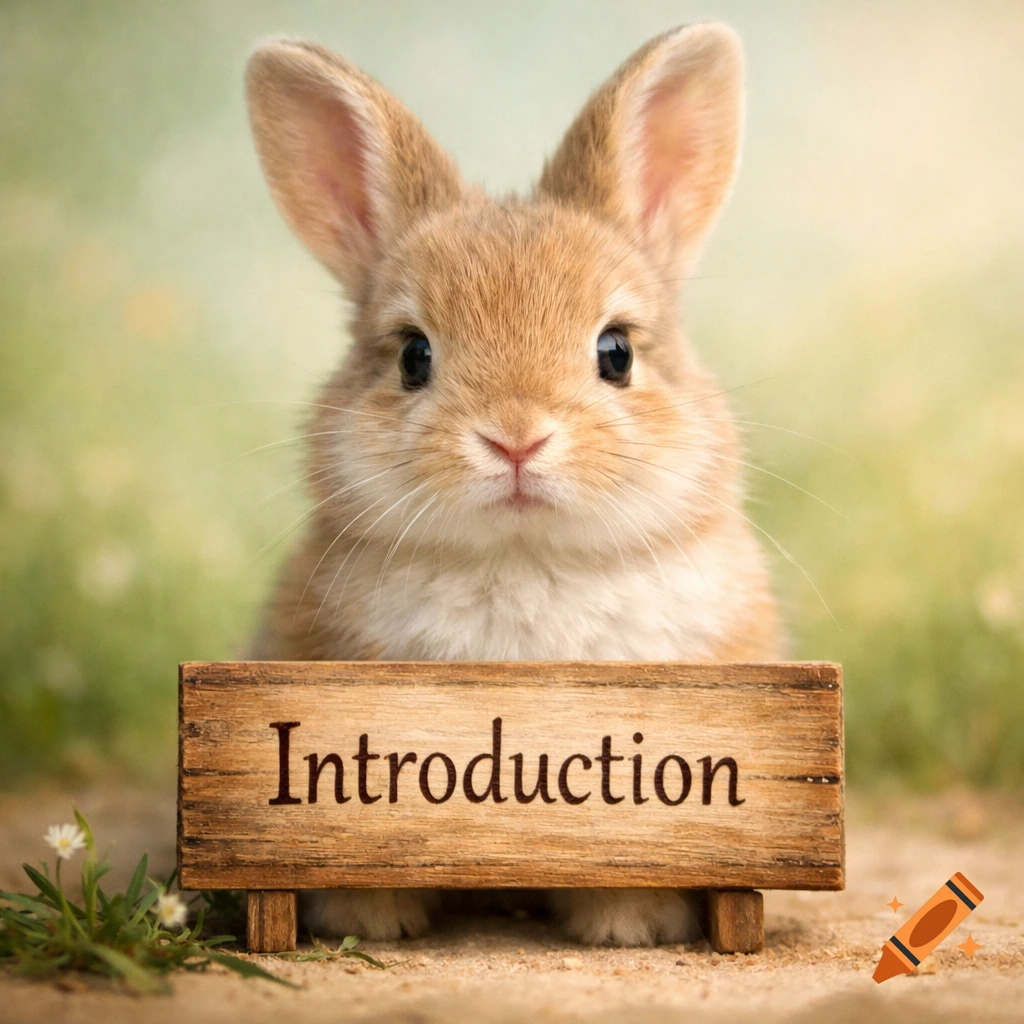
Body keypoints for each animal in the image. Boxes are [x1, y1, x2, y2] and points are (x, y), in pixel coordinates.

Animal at [244, 21, 780, 948]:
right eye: (414, 355)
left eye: (616, 351)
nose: (516, 437)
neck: (526, 558)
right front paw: (370, 920)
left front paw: (630, 925)